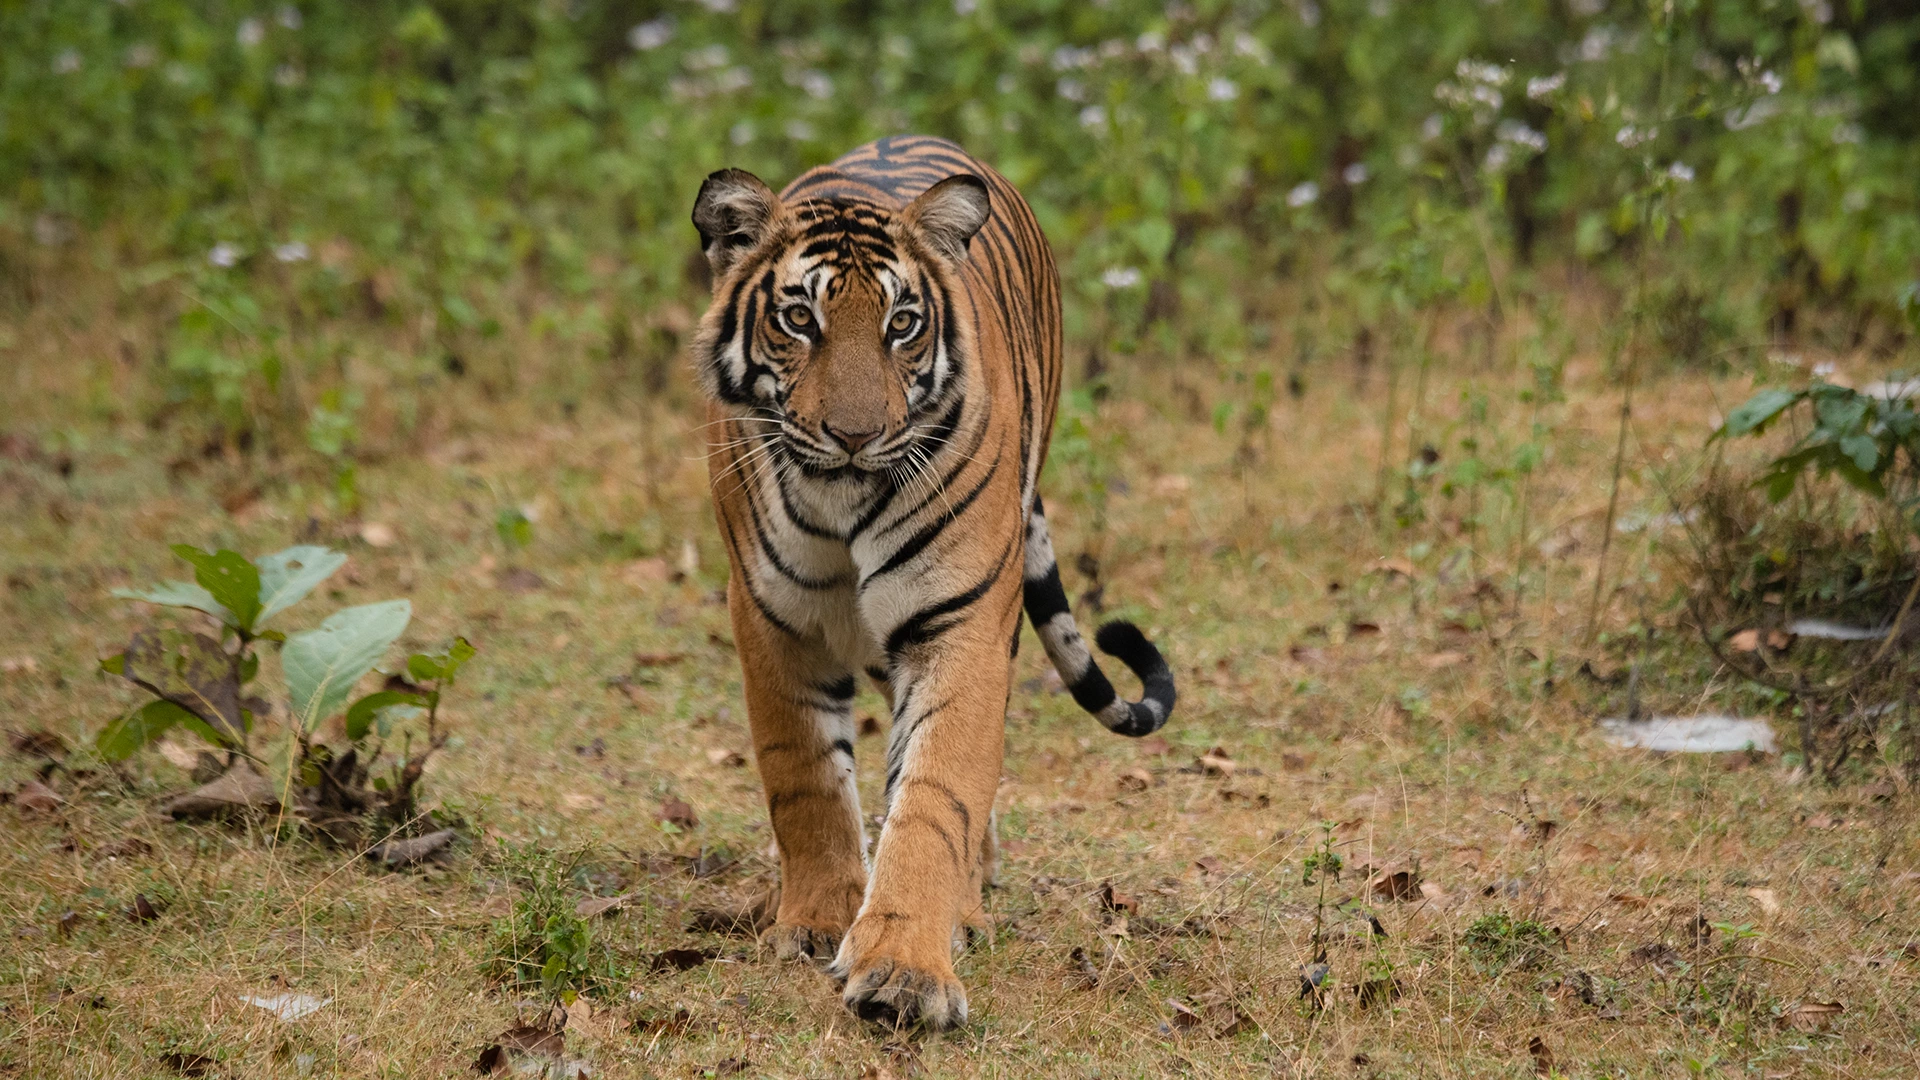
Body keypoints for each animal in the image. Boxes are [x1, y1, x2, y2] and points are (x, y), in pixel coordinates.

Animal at [691, 134, 1167, 1022]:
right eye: (799, 319)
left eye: (901, 325)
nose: (854, 435)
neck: (840, 501)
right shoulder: (773, 619)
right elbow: (804, 779)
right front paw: (817, 920)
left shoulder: (961, 622)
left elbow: (937, 794)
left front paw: (906, 970)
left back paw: (967, 911)